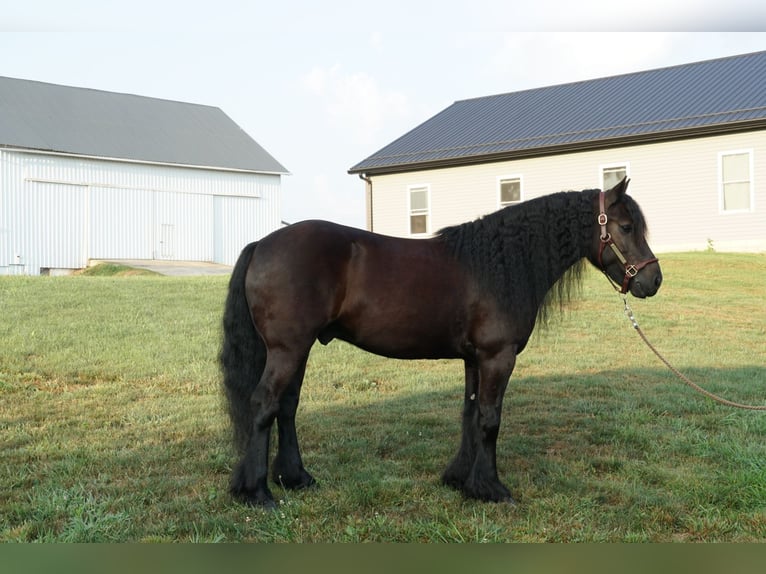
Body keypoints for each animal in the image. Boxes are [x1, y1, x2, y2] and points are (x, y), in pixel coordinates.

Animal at [219, 177, 662, 508]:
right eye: (626, 227)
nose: (652, 281)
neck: (500, 264)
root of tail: (261, 244)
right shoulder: (497, 357)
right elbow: (489, 419)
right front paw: (492, 489)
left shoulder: (474, 359)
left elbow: (469, 414)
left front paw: (460, 480)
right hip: (288, 350)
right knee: (263, 405)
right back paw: (257, 492)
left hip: (299, 349)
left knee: (286, 407)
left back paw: (296, 478)